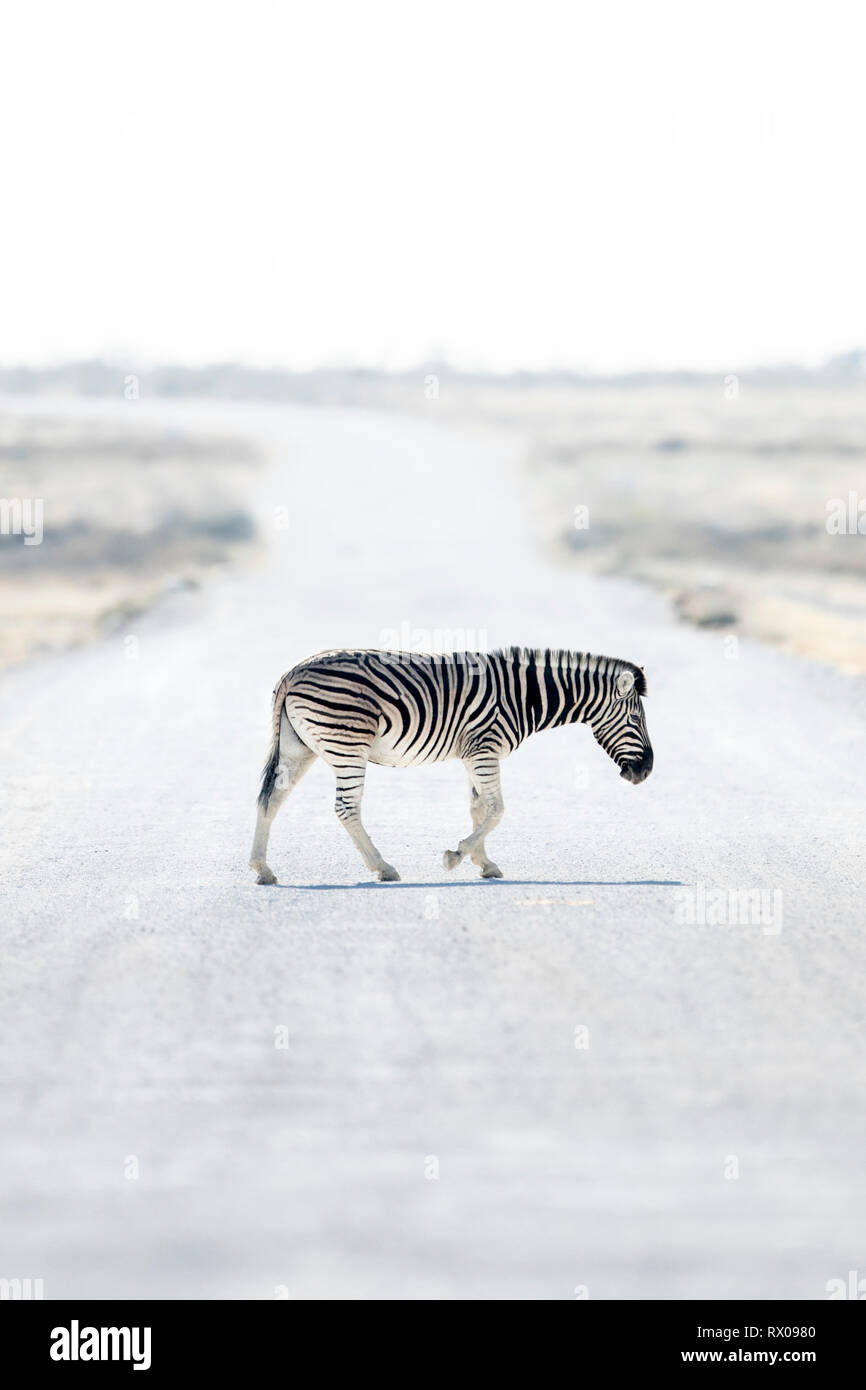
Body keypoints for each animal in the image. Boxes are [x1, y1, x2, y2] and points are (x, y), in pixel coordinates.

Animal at [249, 646, 653, 884]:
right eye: (636, 719)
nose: (646, 771)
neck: (524, 697)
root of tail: (293, 672)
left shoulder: (476, 754)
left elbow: (479, 809)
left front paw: (484, 863)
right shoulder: (485, 750)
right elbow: (496, 809)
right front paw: (455, 857)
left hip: (299, 747)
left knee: (271, 799)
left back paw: (262, 869)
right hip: (348, 744)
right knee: (346, 808)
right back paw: (383, 868)